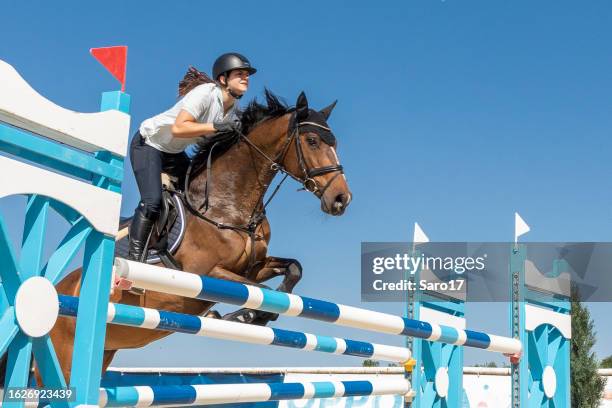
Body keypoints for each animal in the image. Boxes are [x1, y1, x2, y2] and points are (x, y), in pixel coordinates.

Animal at [47, 90, 352, 382]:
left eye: (335, 144)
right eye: (312, 141)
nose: (341, 199)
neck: (227, 205)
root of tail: (57, 289)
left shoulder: (252, 268)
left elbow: (291, 272)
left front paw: (251, 315)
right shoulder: (206, 272)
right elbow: (264, 294)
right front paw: (240, 316)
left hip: (104, 352)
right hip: (63, 359)